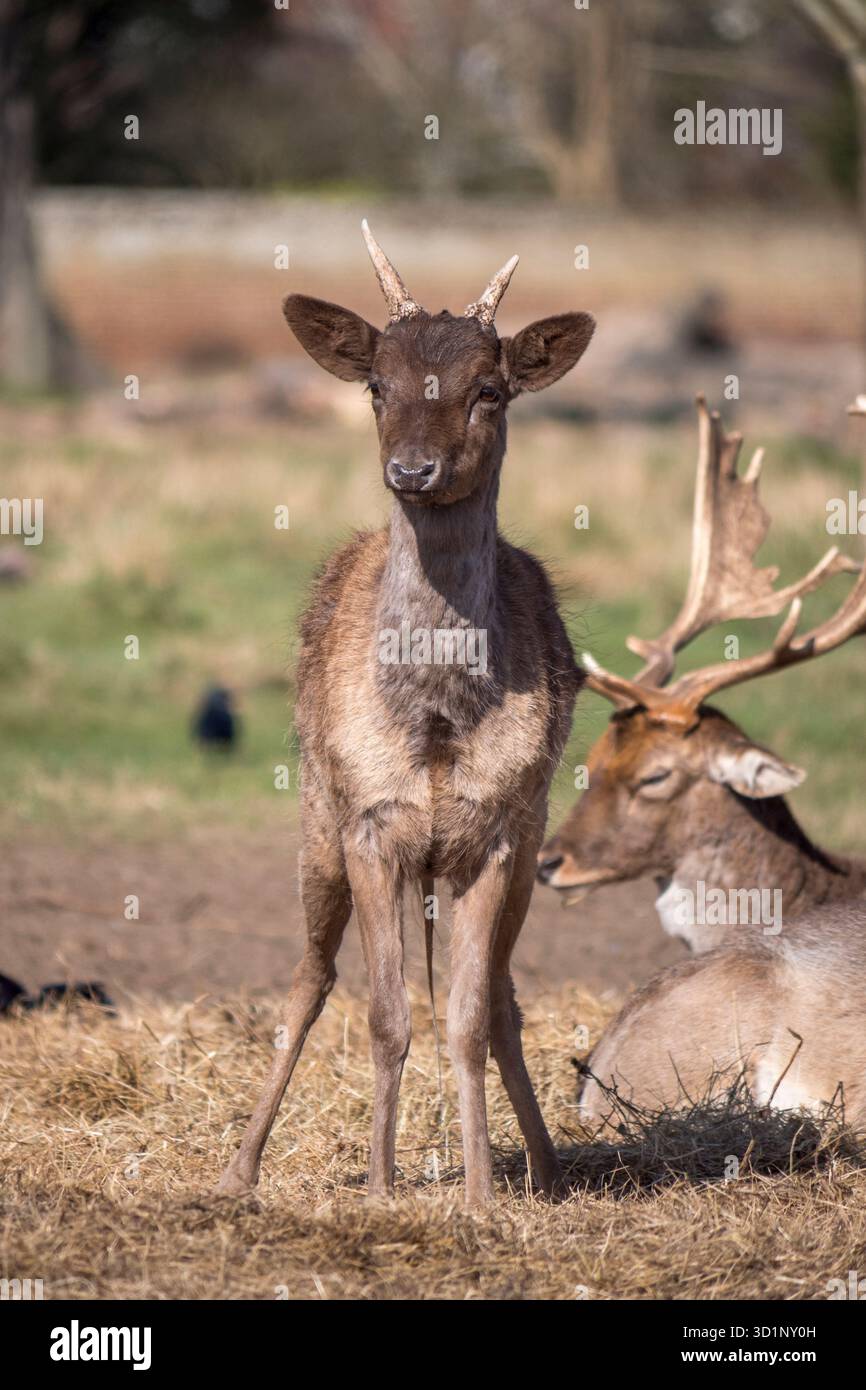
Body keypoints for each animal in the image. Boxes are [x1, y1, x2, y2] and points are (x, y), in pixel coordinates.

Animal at [215, 223, 595, 1207]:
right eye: (377, 384)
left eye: (489, 388)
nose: (412, 470)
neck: (434, 722)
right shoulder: (372, 824)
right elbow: (387, 1017)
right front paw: (383, 1187)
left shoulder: (496, 831)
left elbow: (464, 1018)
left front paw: (481, 1192)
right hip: (315, 822)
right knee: (309, 978)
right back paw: (240, 1166)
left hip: (530, 848)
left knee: (503, 996)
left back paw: (546, 1167)